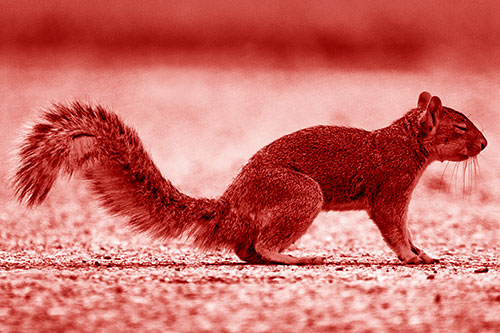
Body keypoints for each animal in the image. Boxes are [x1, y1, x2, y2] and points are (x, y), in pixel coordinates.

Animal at [13, 91, 486, 264]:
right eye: (460, 127)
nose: (484, 144)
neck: (407, 142)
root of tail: (231, 206)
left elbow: (405, 228)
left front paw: (421, 251)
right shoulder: (391, 188)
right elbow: (393, 227)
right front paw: (412, 256)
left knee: (247, 251)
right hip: (302, 194)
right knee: (261, 245)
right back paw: (296, 258)